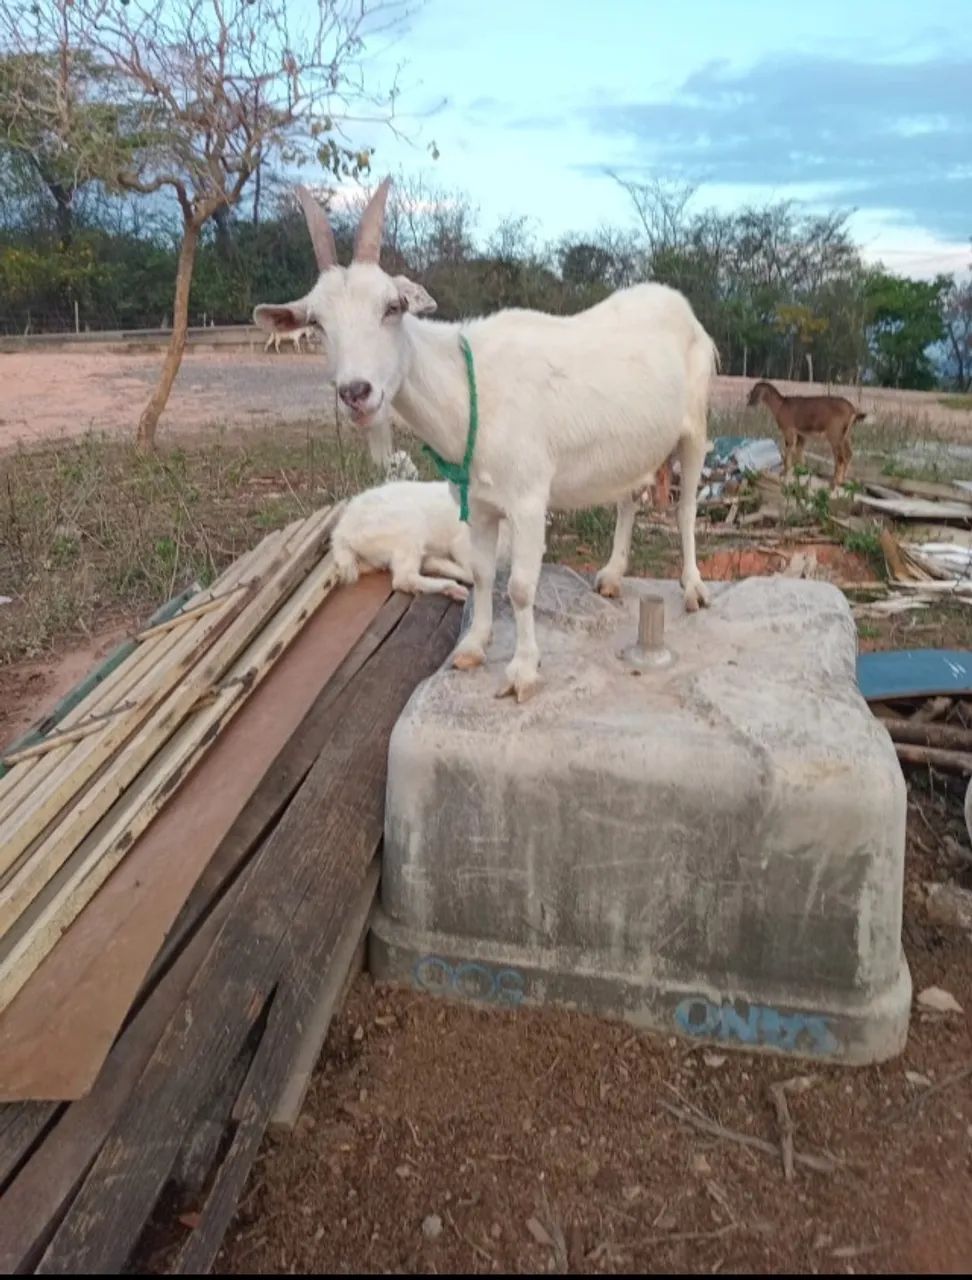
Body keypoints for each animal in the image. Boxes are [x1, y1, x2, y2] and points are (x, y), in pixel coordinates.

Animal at [332, 479, 510, 603]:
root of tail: (341, 531)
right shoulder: (462, 543)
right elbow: (476, 573)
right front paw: (435, 563)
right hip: (410, 526)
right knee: (402, 578)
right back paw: (451, 587)